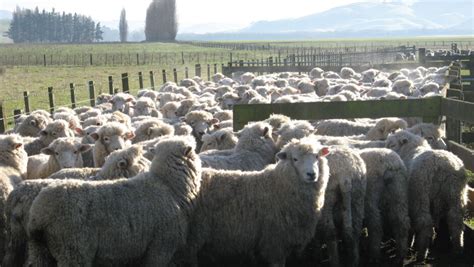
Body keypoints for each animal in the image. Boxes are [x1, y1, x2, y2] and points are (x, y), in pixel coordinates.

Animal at [184, 137, 330, 266]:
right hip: (193, 237)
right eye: (295, 159)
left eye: (317, 156)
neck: (278, 185)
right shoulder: (275, 241)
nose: (312, 174)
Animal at [386, 131, 468, 262]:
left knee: (425, 223)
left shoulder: (411, 199)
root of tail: (442, 165)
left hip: (420, 194)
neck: (410, 149)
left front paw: (411, 242)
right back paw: (458, 250)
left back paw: (421, 254)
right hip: (456, 195)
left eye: (392, 145)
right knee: (455, 221)